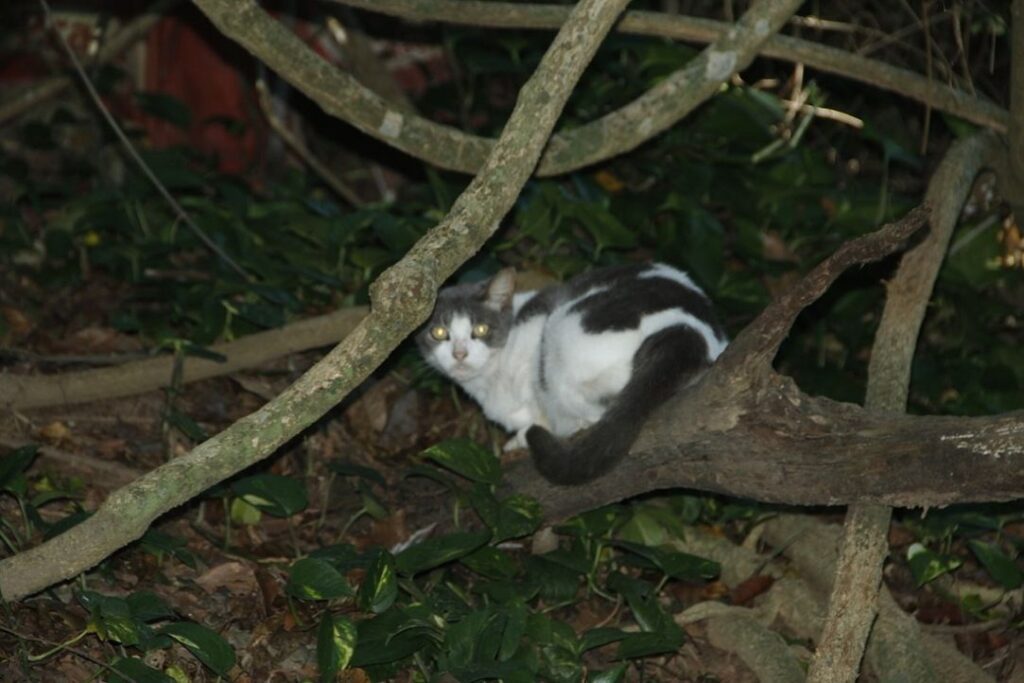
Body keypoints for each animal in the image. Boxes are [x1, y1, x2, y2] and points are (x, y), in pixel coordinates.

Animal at [417, 263, 727, 485]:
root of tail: (686, 334)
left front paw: (522, 437)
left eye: (480, 330)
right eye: (439, 333)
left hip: (561, 332)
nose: (459, 354)